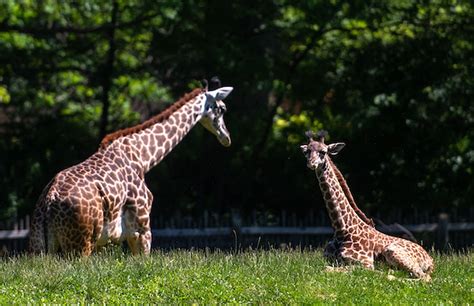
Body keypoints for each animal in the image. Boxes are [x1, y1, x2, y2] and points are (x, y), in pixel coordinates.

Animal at [300, 130, 434, 280]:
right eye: (307, 151)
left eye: (323, 152)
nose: (311, 163)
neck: (342, 229)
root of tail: (431, 260)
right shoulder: (327, 259)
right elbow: (322, 267)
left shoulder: (365, 264)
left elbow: (329, 269)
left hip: (392, 251)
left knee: (424, 277)